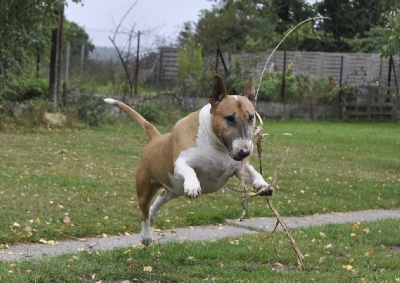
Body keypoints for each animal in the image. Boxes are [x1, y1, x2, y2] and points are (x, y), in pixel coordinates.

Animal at [104, 75, 274, 246]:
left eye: (251, 117)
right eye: (230, 118)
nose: (245, 151)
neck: (216, 144)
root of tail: (156, 138)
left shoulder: (238, 168)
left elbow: (253, 172)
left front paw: (263, 185)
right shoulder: (180, 163)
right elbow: (188, 169)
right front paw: (193, 186)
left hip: (174, 188)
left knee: (161, 196)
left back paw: (153, 212)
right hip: (145, 187)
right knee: (144, 212)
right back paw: (146, 235)